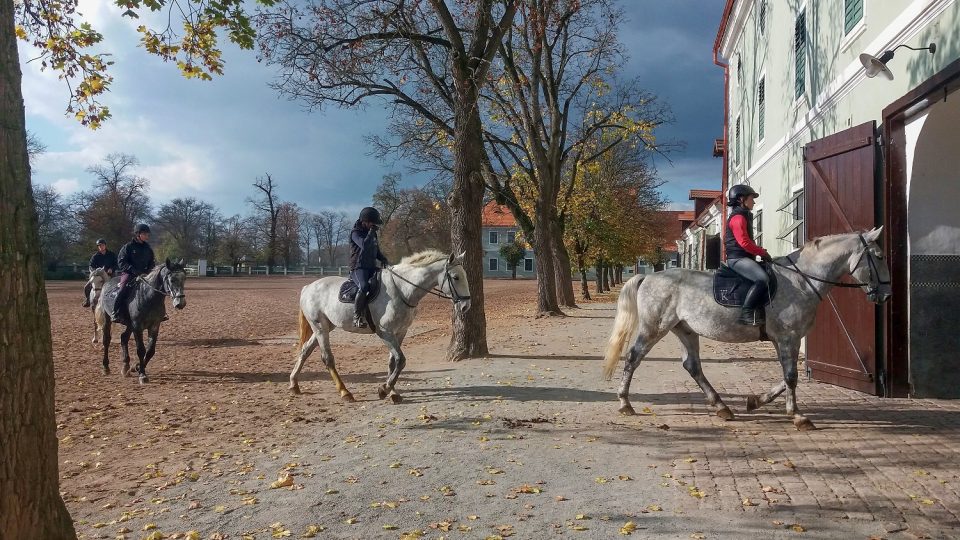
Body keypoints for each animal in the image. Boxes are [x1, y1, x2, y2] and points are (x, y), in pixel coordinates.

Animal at [292, 251, 472, 402]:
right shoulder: (385, 332)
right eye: (456, 277)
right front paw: (384, 389)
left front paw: (392, 391)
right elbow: (401, 360)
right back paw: (345, 392)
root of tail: (308, 287)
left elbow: (393, 361)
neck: (401, 289)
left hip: (325, 326)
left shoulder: (400, 332)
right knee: (327, 358)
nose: (466, 306)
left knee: (305, 351)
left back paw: (294, 384)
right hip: (320, 327)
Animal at [600, 228, 892, 430]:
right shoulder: (787, 338)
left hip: (685, 330)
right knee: (633, 358)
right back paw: (625, 403)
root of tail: (648, 276)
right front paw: (798, 417)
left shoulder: (785, 340)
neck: (800, 281)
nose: (886, 295)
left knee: (692, 366)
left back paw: (722, 407)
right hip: (654, 327)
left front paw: (756, 401)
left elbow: (787, 377)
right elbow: (791, 377)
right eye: (878, 256)